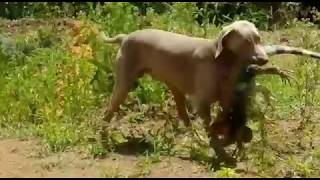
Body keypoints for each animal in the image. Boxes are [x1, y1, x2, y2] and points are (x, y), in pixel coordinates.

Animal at [100, 20, 270, 162]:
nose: (265, 59)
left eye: (258, 38)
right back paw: (104, 141)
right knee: (106, 113)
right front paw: (223, 154)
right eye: (246, 41)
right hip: (124, 84)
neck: (221, 61)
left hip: (175, 87)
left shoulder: (227, 102)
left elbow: (228, 126)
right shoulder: (202, 104)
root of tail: (125, 37)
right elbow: (212, 132)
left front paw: (233, 144)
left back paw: (197, 140)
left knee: (184, 115)